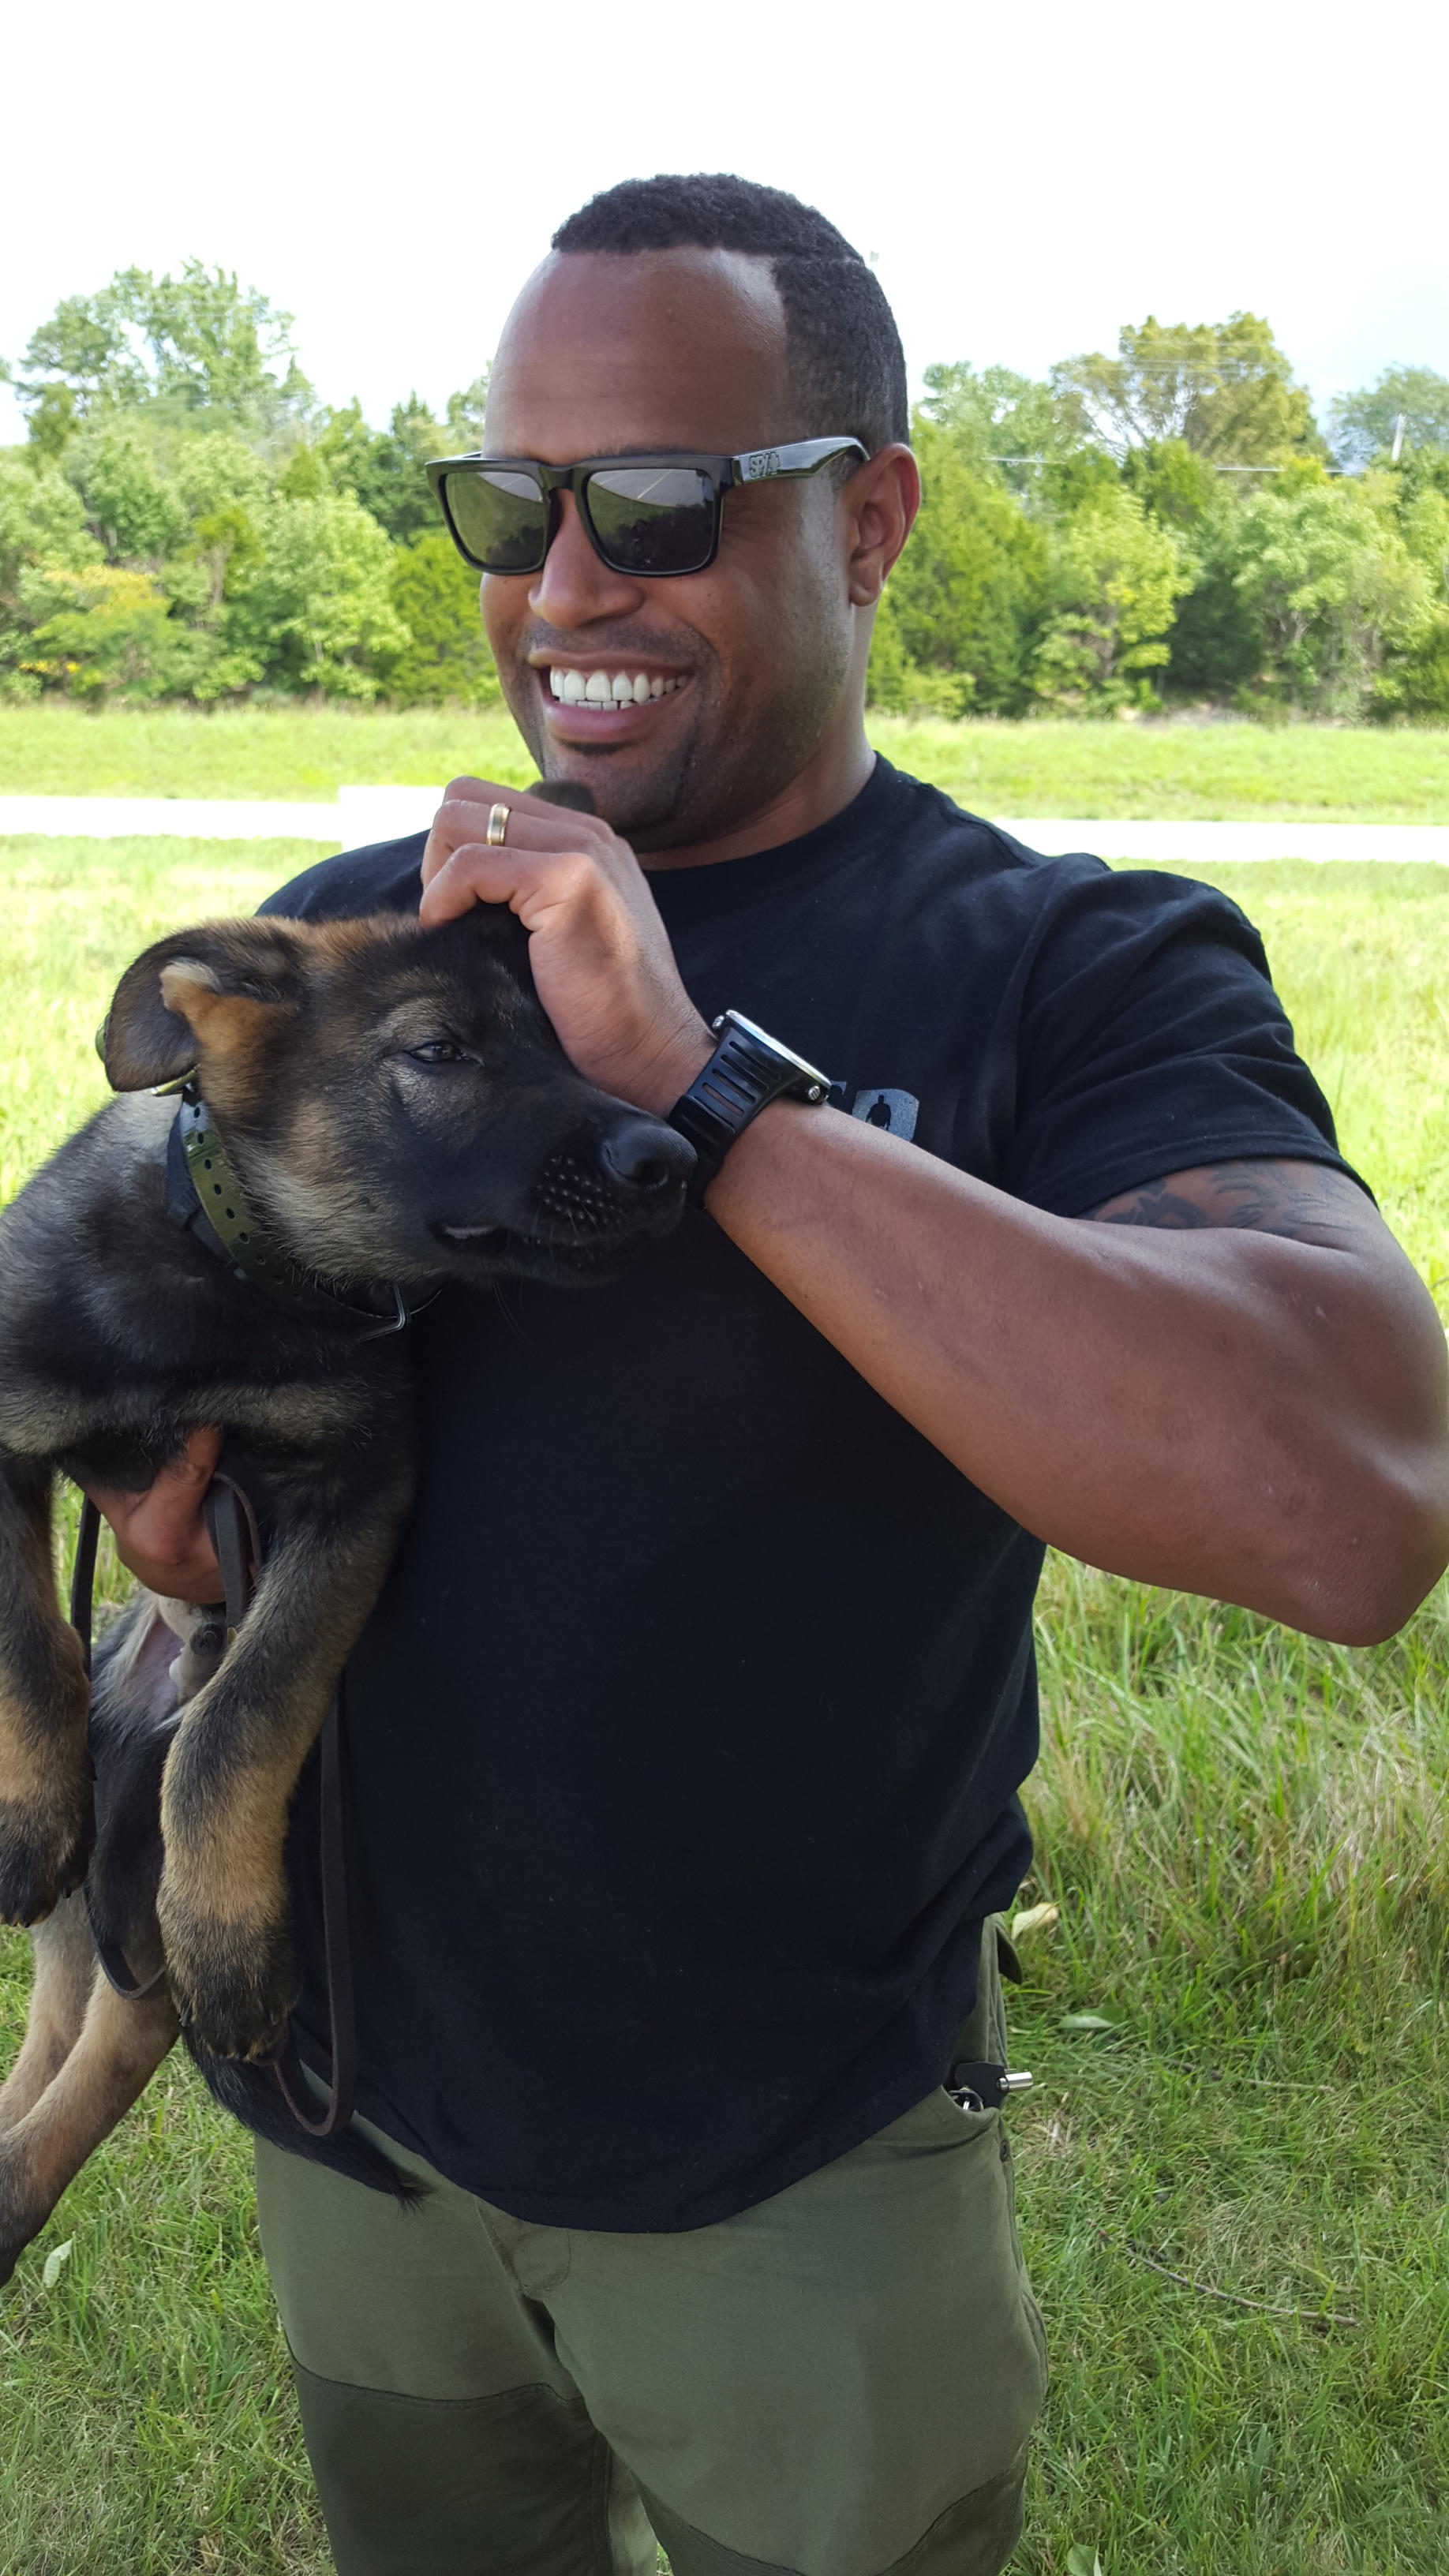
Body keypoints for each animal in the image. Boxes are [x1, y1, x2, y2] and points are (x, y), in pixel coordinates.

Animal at [0, 896, 691, 2267]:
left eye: (566, 1036)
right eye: (438, 1052)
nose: (674, 1158)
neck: (230, 1274)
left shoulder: (353, 1499)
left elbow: (241, 1718)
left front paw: (232, 1938)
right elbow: (28, 1643)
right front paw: (29, 1806)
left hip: (127, 1881)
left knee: (110, 2037)